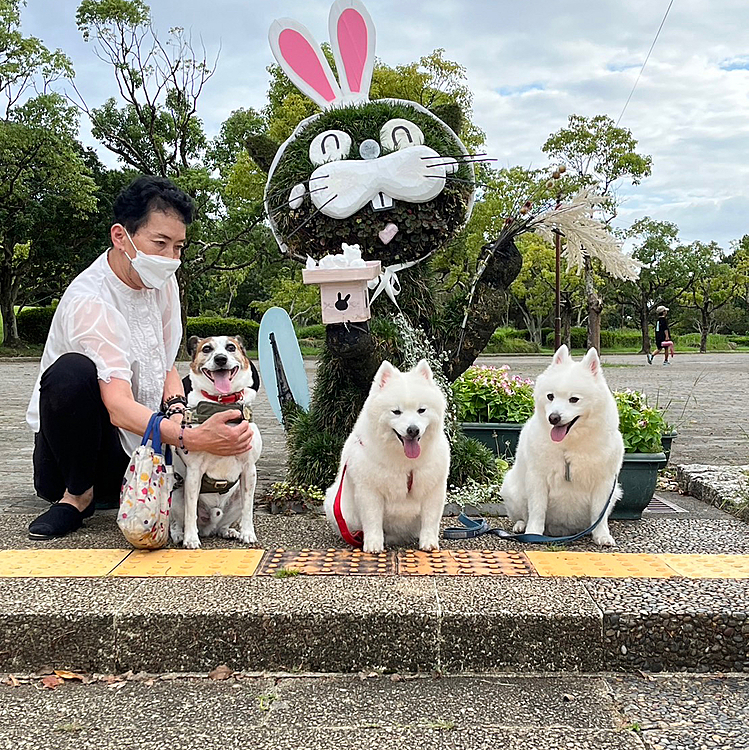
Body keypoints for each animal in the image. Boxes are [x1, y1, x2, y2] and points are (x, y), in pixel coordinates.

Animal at [169, 338, 262, 548]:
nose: (221, 359)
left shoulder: (249, 470)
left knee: (224, 523)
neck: (222, 405)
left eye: (231, 347)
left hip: (235, 499)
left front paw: (248, 533)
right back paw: (179, 534)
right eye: (206, 349)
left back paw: (229, 531)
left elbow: (248, 508)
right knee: (178, 520)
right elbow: (190, 512)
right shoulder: (194, 473)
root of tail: (209, 526)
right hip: (178, 494)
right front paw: (190, 539)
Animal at [322, 362, 450, 556]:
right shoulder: (369, 491)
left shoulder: (433, 489)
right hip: (338, 506)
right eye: (396, 412)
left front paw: (429, 543)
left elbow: (430, 520)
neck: (405, 461)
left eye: (421, 410)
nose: (413, 429)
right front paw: (373, 545)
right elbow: (372, 519)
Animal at [500, 346, 624, 548]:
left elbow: (599, 514)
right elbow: (537, 510)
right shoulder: (538, 479)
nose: (553, 417)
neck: (570, 446)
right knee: (522, 515)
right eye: (550, 396)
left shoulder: (604, 483)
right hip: (512, 489)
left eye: (574, 399)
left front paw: (602, 536)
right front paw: (533, 533)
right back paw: (520, 526)